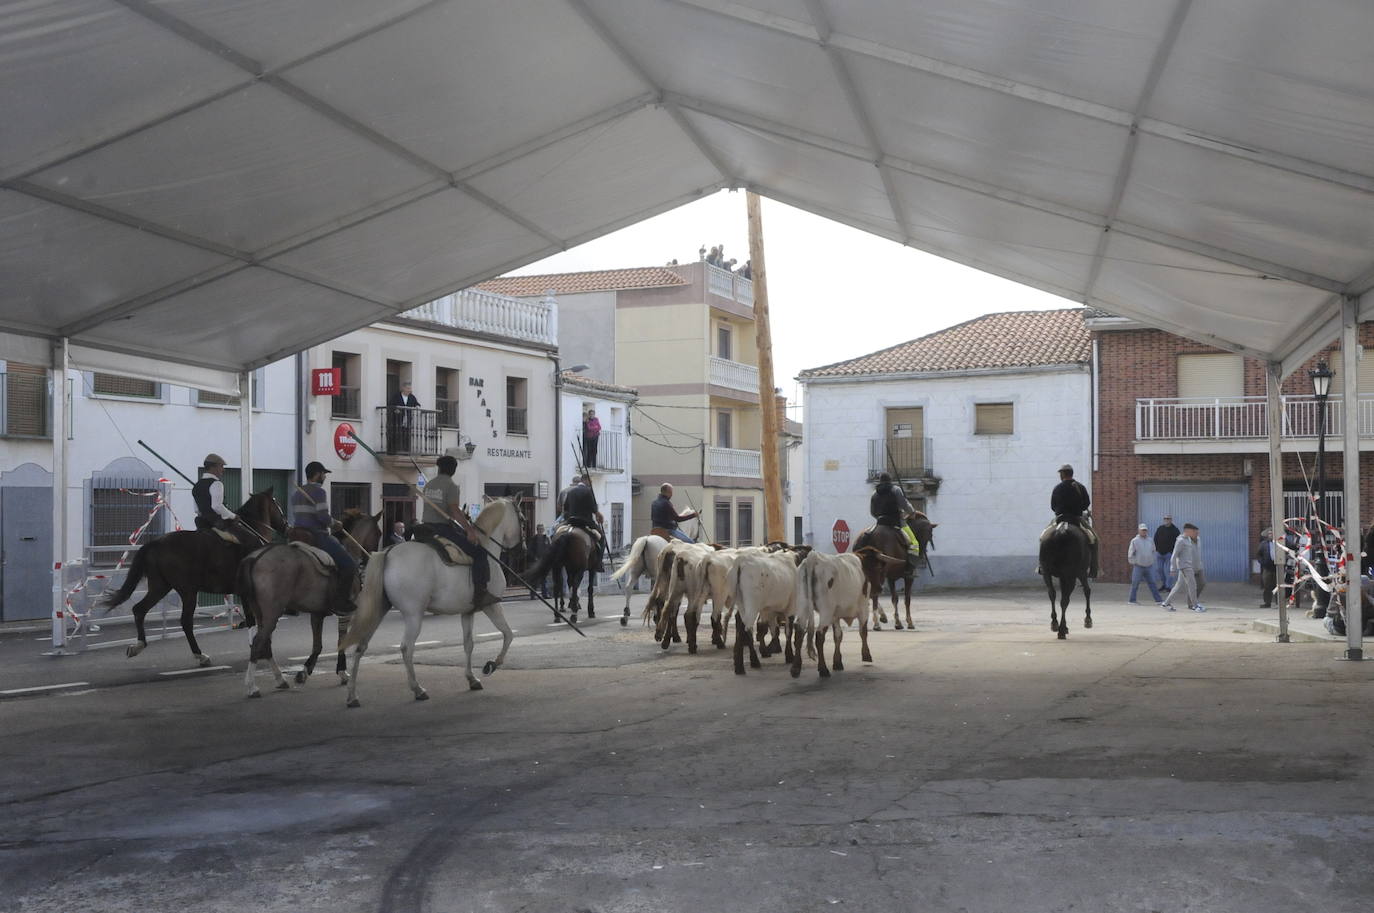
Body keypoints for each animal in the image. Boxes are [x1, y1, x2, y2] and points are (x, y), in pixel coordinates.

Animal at [95, 489, 285, 668]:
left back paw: (138, 646)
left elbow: (254, 620)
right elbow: (255, 620)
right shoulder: (249, 593)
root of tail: (155, 543)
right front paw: (260, 649)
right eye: (277, 504)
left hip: (160, 586)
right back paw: (201, 656)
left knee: (139, 609)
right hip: (188, 592)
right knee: (185, 621)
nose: (286, 526)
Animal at [335, 500, 522, 704]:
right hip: (413, 615)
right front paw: (492, 665)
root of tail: (389, 552)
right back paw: (418, 689)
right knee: (406, 648)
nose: (522, 549)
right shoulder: (492, 605)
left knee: (361, 647)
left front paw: (471, 678)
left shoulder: (467, 611)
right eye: (522, 519)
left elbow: (469, 644)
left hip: (378, 610)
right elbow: (508, 635)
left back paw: (352, 695)